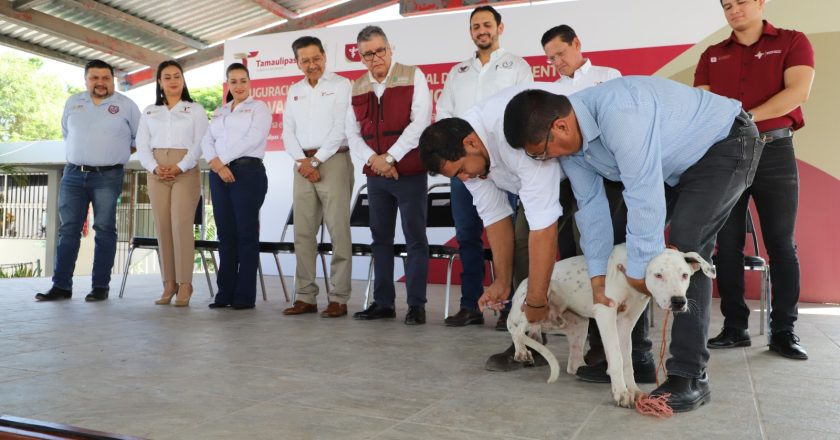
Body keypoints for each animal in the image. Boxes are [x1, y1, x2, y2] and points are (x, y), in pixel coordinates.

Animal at [506, 242, 716, 408]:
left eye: (685, 275)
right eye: (658, 275)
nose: (679, 302)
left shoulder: (627, 322)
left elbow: (628, 360)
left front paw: (633, 390)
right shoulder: (605, 314)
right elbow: (616, 357)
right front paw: (621, 393)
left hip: (578, 326)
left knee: (573, 363)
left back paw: (582, 368)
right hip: (536, 300)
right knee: (515, 328)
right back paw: (521, 350)